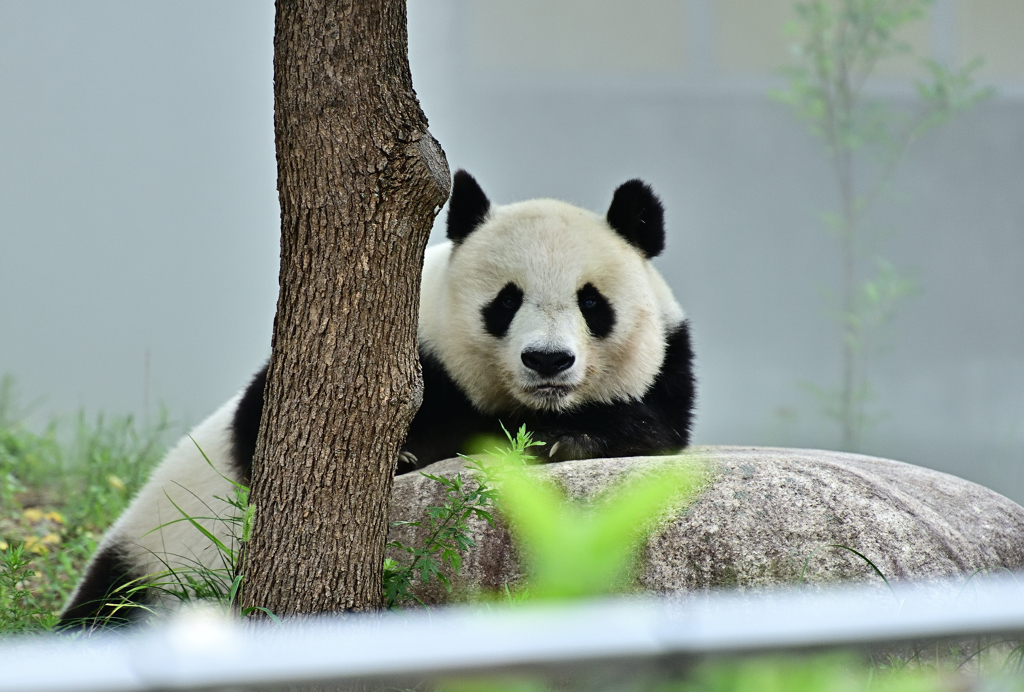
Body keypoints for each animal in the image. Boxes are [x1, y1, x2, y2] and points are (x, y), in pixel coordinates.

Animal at [59, 171, 692, 626]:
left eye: (592, 302)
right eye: (506, 301)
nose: (547, 360)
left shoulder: (667, 365)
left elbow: (657, 427)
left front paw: (567, 439)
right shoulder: (399, 348)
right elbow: (268, 427)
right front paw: (407, 451)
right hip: (153, 564)